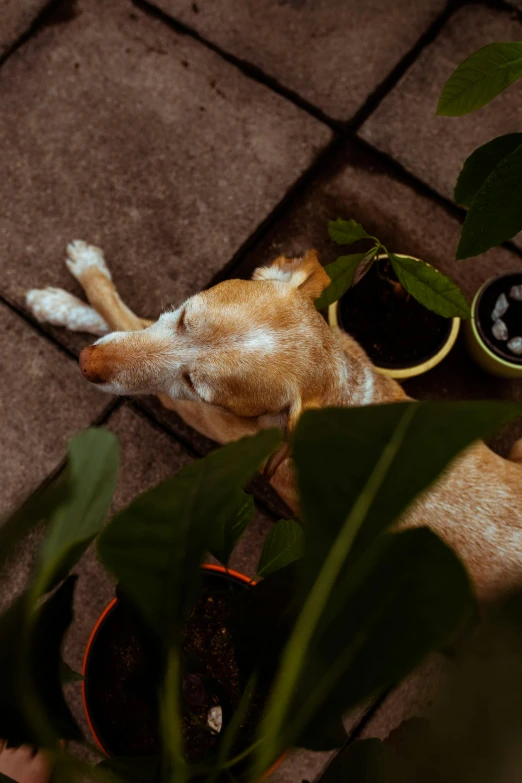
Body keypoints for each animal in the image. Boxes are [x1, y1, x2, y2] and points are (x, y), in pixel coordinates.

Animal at [26, 242, 520, 604]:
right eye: (185, 316)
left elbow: (121, 316)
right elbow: (131, 324)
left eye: (195, 384)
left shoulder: (192, 409)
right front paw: (69, 301)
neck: (339, 386)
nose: (86, 363)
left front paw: (70, 290)